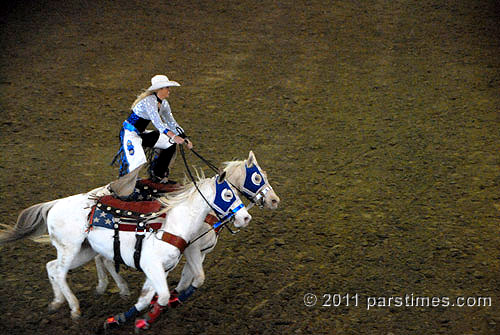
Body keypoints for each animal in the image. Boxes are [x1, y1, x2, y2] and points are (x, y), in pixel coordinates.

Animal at [0, 172, 250, 324]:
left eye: (237, 192)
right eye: (228, 194)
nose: (246, 217)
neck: (172, 224)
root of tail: (54, 204)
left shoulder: (160, 269)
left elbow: (149, 296)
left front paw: (123, 318)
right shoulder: (153, 265)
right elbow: (161, 295)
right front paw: (145, 320)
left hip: (84, 251)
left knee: (51, 266)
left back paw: (57, 302)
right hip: (70, 249)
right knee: (60, 272)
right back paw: (74, 308)